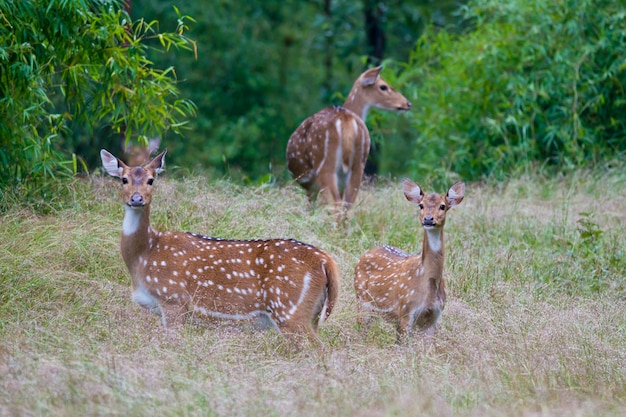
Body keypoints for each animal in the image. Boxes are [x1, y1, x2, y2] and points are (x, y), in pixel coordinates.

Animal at [100, 148, 342, 342]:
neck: (144, 256)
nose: (137, 199)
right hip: (312, 315)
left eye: (151, 180)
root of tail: (325, 260)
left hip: (290, 310)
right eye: (123, 179)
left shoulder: (173, 299)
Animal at [286, 66, 410, 210]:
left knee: (336, 205)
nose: (408, 103)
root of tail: (346, 120)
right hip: (358, 165)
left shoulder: (311, 188)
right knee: (348, 205)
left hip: (324, 165)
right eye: (383, 86)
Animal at [352, 178, 464, 338]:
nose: (428, 219)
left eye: (443, 206)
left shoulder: (434, 316)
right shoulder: (406, 310)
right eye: (421, 205)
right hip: (361, 300)